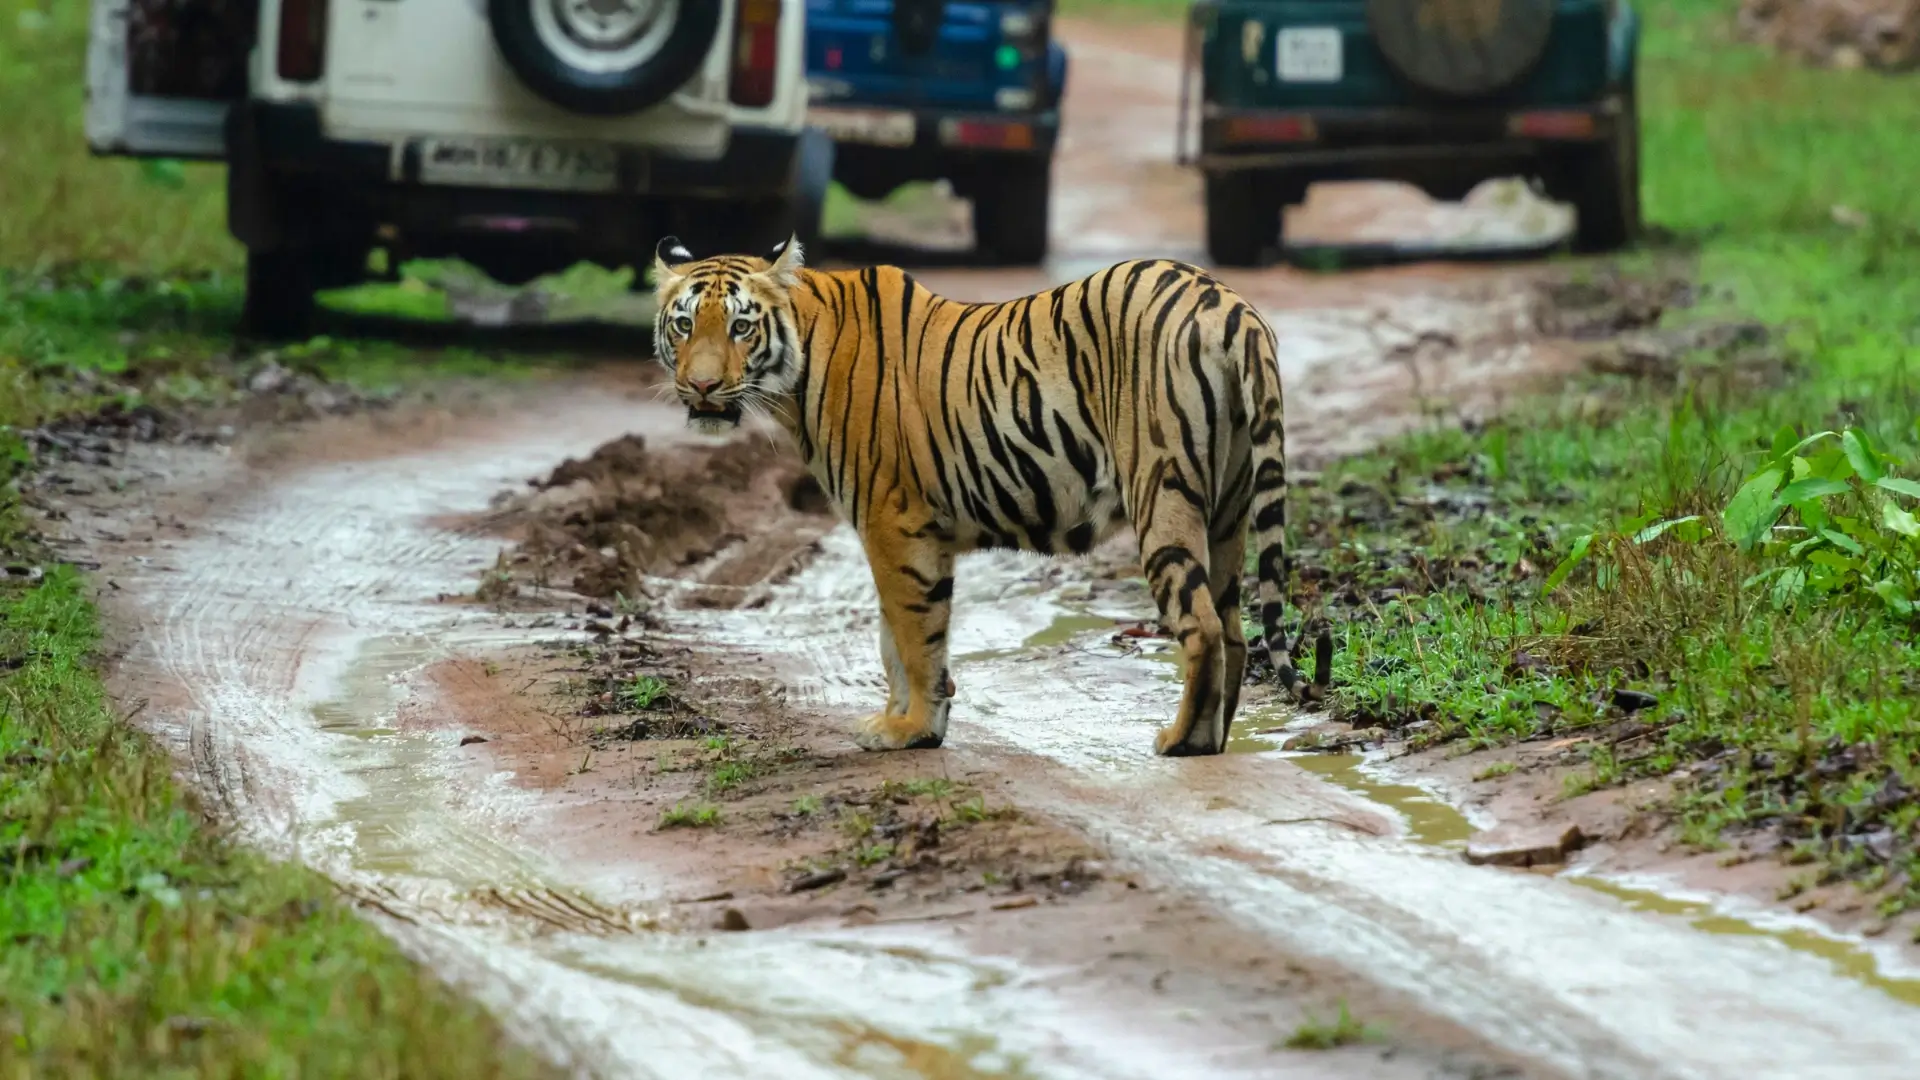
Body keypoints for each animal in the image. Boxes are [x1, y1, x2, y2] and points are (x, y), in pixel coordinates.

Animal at [649, 235, 1323, 756]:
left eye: (741, 326)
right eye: (684, 324)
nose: (701, 387)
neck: (798, 368)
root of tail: (1228, 304)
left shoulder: (893, 523)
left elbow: (913, 635)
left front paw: (912, 729)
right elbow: (895, 637)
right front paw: (905, 720)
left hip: (1162, 492)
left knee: (1202, 626)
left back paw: (1181, 741)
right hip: (1229, 508)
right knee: (1235, 630)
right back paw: (1213, 738)